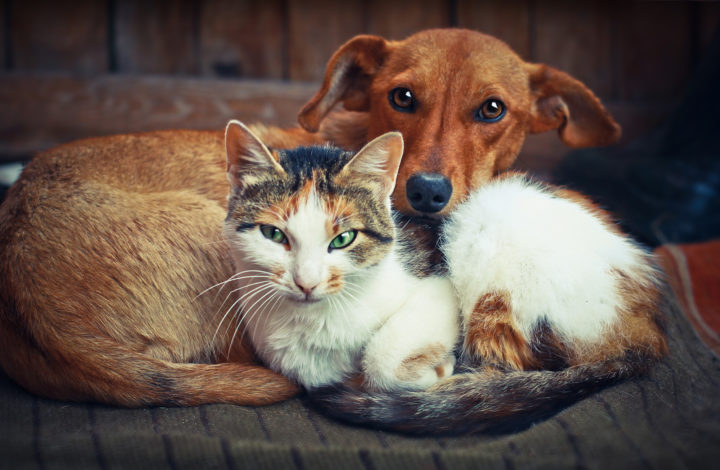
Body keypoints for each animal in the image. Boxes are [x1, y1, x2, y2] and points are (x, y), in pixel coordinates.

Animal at [225, 120, 458, 390]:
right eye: (273, 233)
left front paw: (438, 369)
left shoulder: (441, 284)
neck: (315, 321)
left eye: (344, 238)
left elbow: (381, 359)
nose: (306, 283)